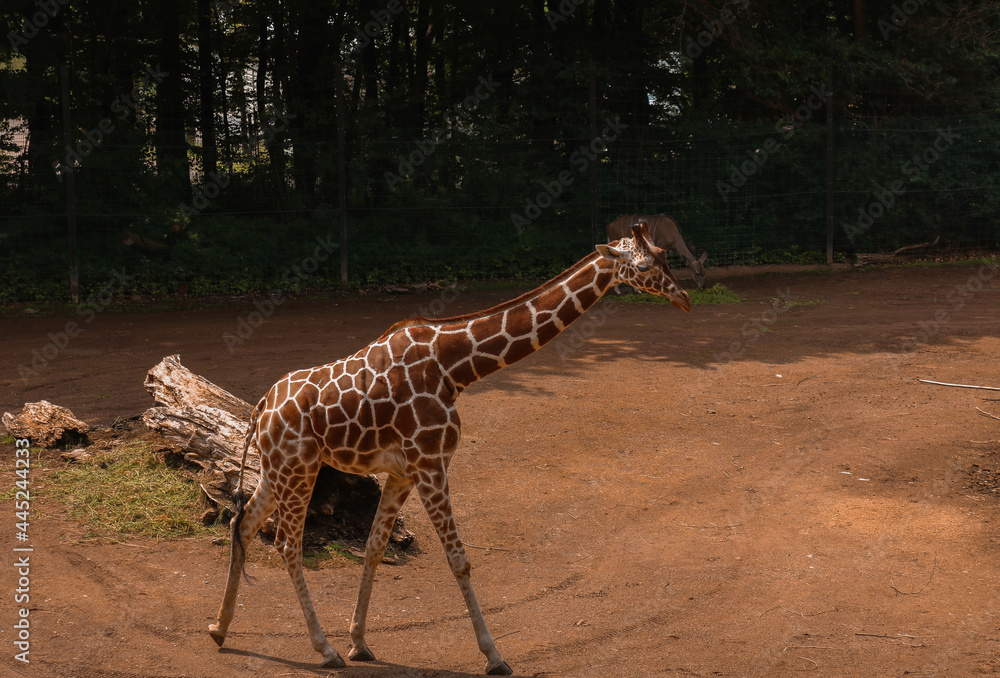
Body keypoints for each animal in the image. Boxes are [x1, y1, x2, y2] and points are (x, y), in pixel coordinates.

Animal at [207, 222, 692, 676]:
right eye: (643, 267)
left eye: (665, 255)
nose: (685, 298)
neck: (456, 367)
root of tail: (260, 408)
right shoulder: (431, 464)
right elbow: (459, 559)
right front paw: (494, 656)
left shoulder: (402, 472)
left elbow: (375, 547)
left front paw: (360, 642)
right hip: (298, 468)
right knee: (287, 543)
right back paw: (323, 650)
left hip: (278, 470)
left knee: (243, 522)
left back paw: (219, 628)